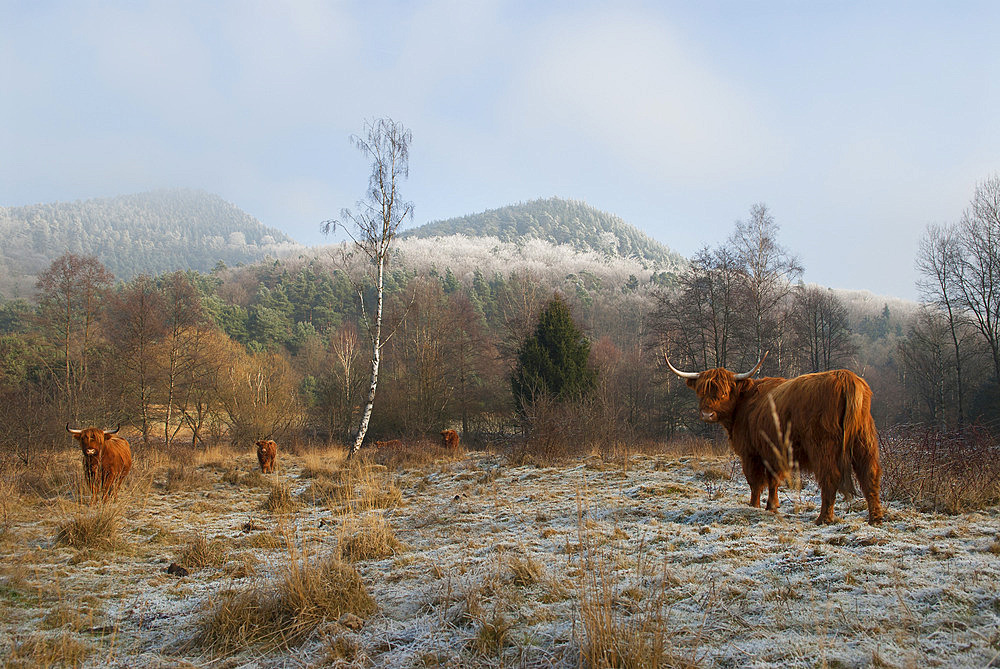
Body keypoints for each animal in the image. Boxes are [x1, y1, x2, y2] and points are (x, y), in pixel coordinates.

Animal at [664, 352, 884, 524]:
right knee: (870, 475)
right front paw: (772, 506)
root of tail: (845, 377)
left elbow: (755, 481)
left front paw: (753, 506)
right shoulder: (774, 453)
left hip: (823, 445)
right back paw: (875, 518)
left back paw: (824, 518)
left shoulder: (751, 453)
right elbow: (773, 481)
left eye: (725, 392)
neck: (744, 404)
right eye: (701, 392)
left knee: (830, 477)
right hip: (864, 441)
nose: (707, 414)